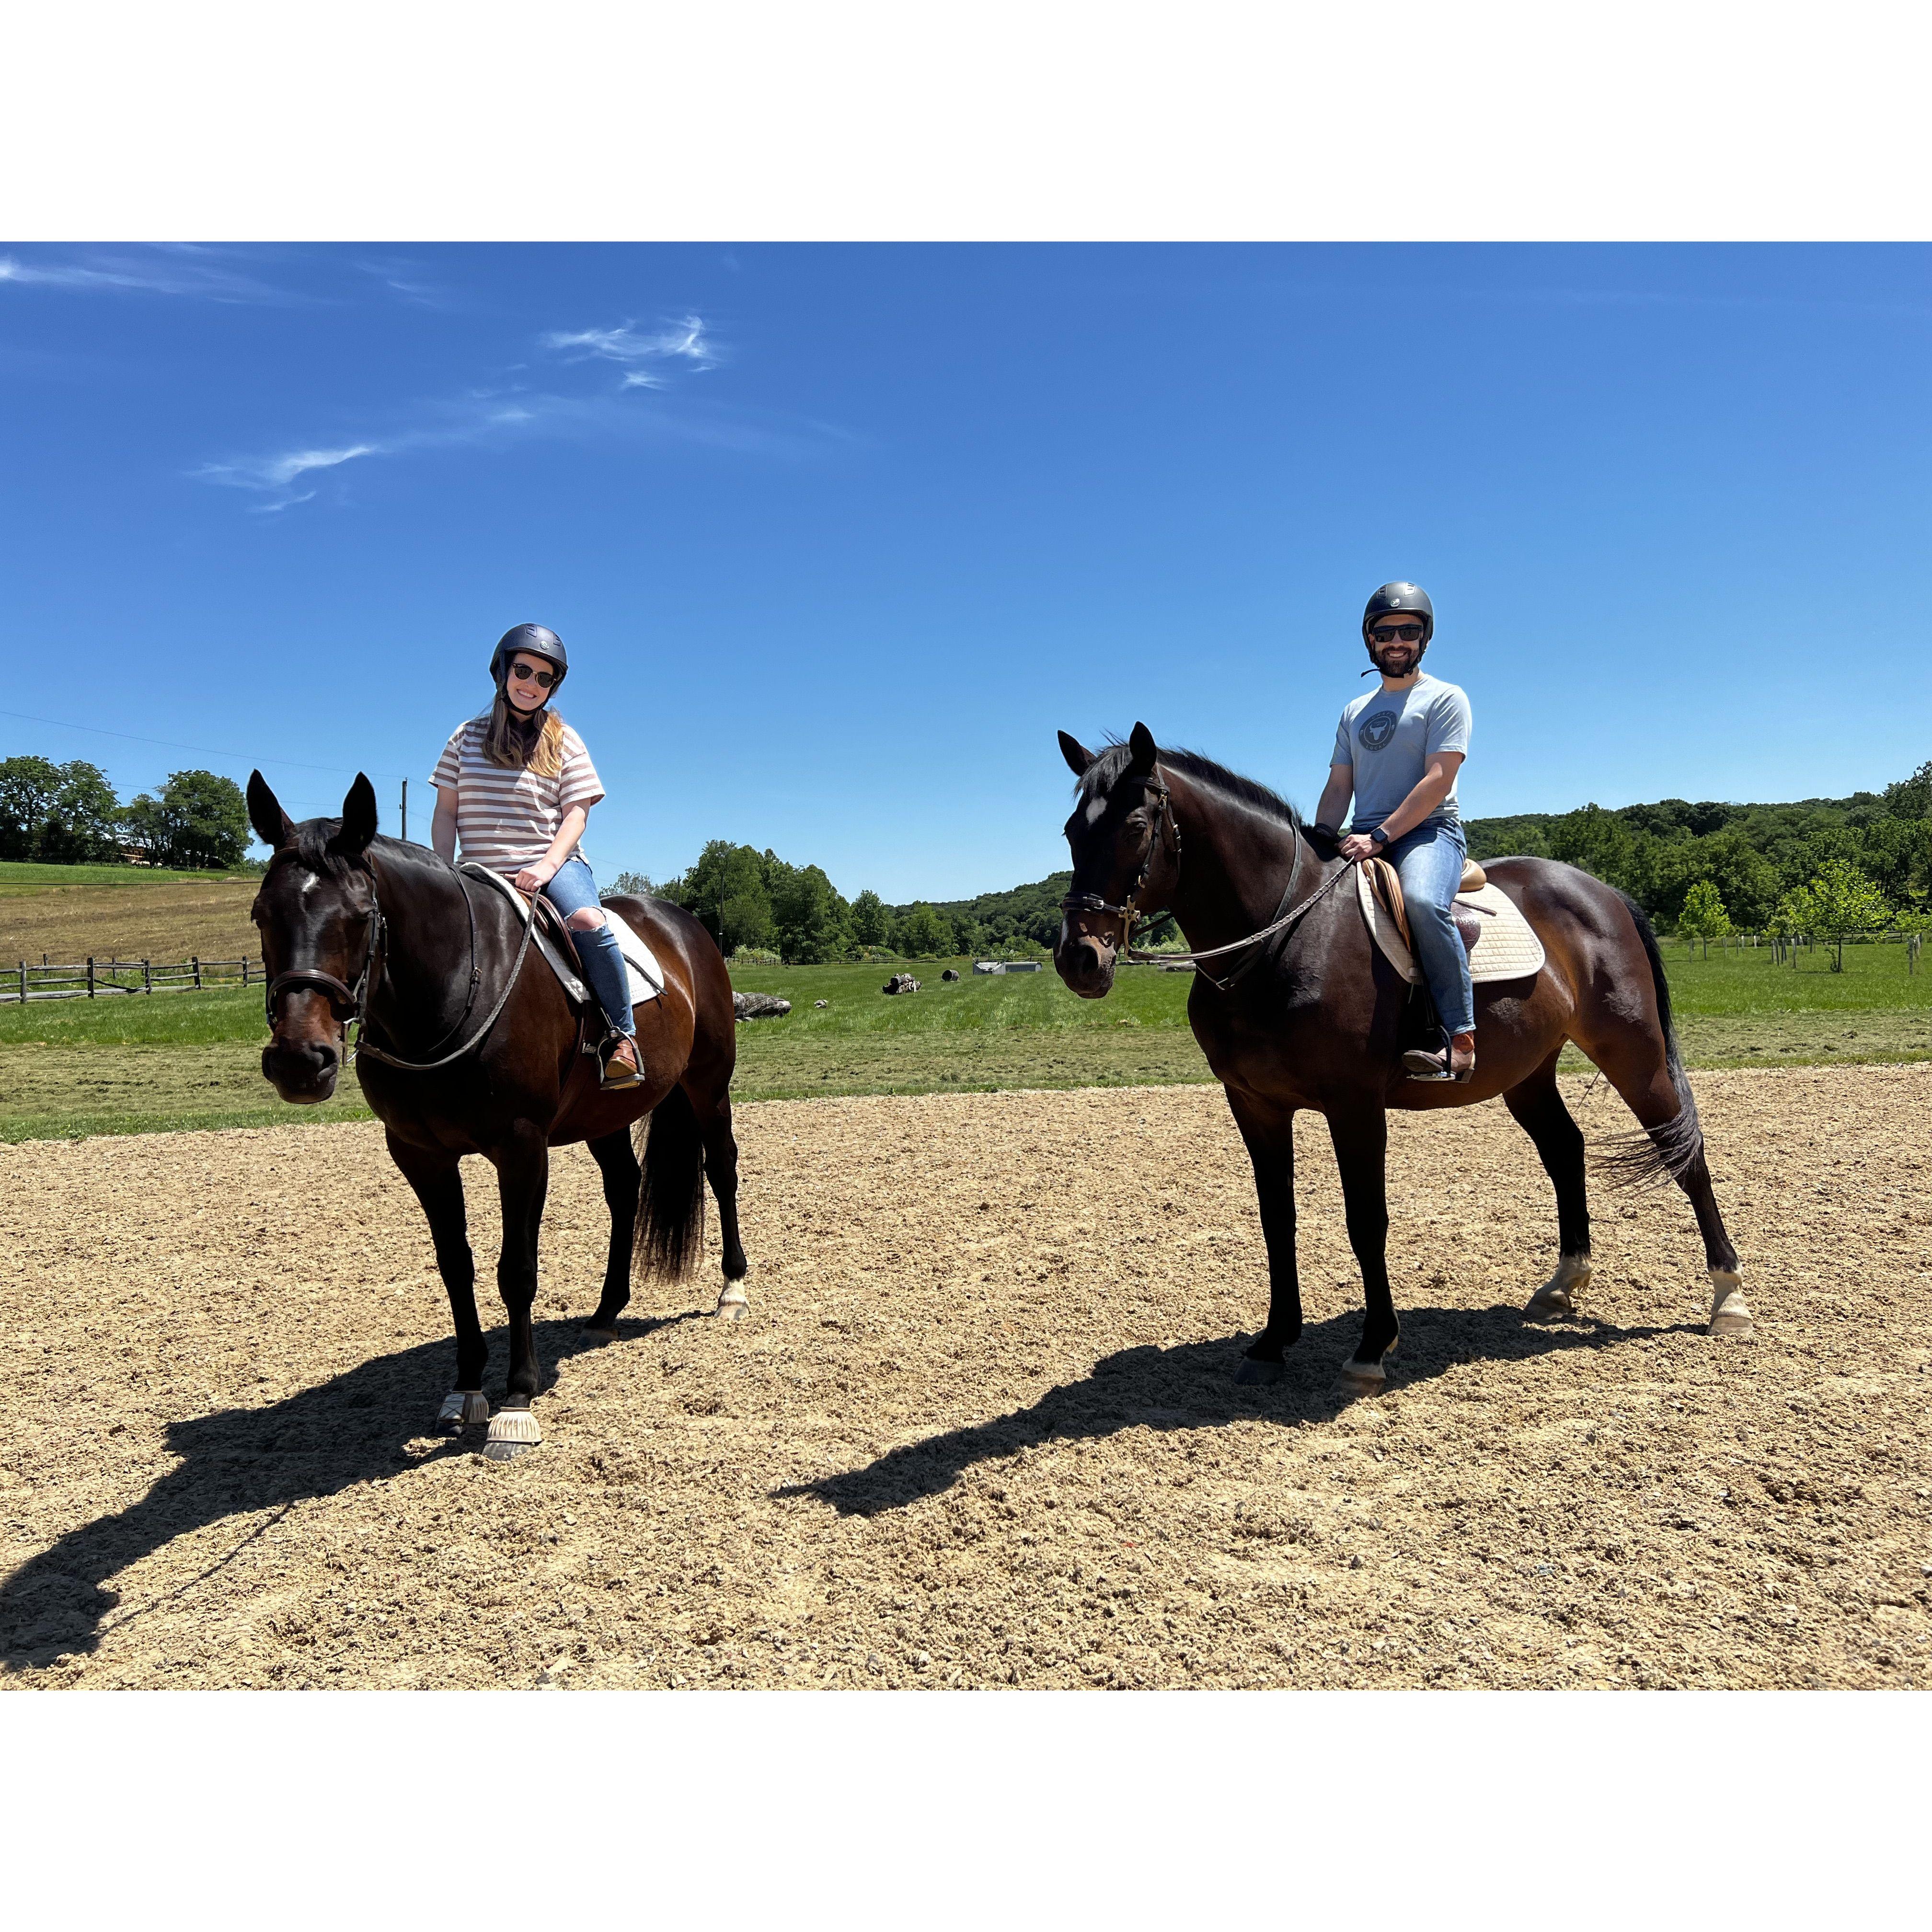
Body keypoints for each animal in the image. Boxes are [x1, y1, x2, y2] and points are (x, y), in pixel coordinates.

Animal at [249, 776, 746, 1453]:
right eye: (261, 913)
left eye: (360, 917)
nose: (301, 1061)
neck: (455, 985)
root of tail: (684, 924)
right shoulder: (419, 1155)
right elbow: (455, 1268)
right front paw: (465, 1390)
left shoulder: (521, 1148)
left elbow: (517, 1269)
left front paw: (517, 1399)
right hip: (605, 1117)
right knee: (625, 1189)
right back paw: (606, 1312)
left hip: (708, 1084)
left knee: (722, 1170)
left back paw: (733, 1290)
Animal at [1058, 726, 1754, 1391]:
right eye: (1071, 831)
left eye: (1135, 828)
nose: (1079, 960)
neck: (1285, 935)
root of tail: (1601, 890)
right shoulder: (1255, 1105)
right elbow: (1277, 1218)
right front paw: (1273, 1343)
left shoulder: (1355, 1106)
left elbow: (1366, 1220)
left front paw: (1372, 1349)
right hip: (1529, 1073)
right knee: (1565, 1149)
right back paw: (1563, 1283)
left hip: (1632, 1052)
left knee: (1684, 1155)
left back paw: (1729, 1299)